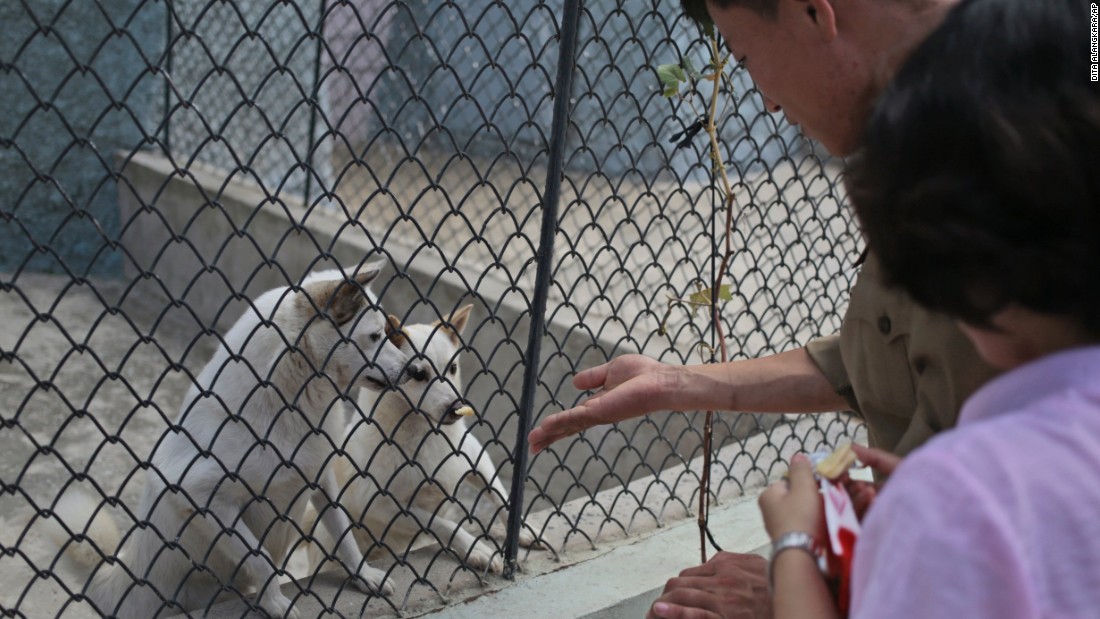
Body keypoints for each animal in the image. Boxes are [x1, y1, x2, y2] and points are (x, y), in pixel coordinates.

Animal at [44, 262, 409, 619]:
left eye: (385, 333)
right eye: (374, 336)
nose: (413, 368)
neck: (285, 399)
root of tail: (122, 578)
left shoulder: (321, 479)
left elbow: (344, 532)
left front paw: (364, 575)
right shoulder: (202, 496)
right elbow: (260, 558)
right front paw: (274, 603)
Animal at [312, 305, 539, 584]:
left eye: (452, 367)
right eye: (419, 374)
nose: (456, 407)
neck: (425, 435)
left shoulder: (477, 458)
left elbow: (501, 496)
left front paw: (521, 528)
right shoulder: (384, 505)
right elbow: (444, 524)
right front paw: (476, 549)